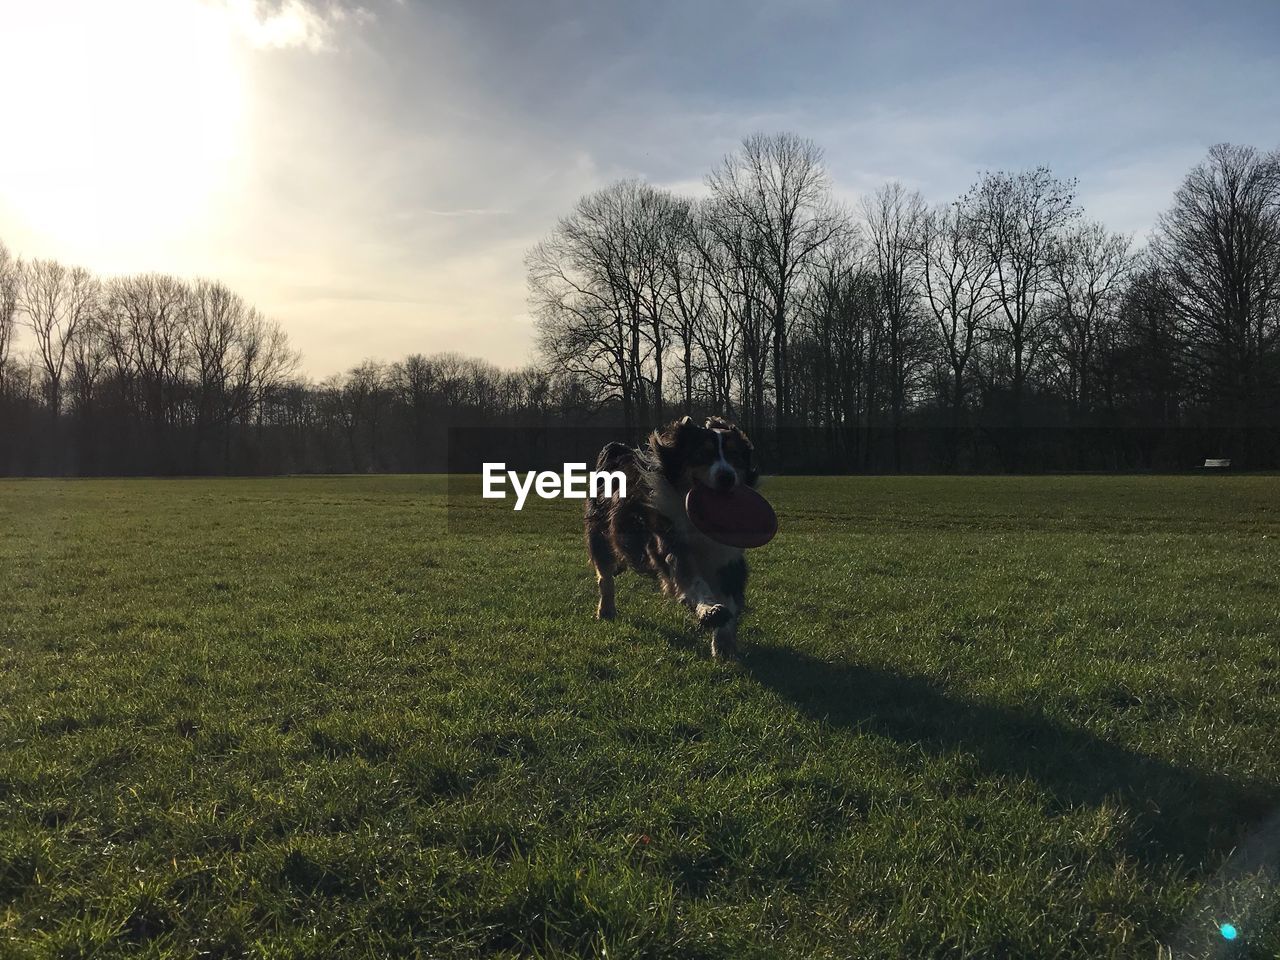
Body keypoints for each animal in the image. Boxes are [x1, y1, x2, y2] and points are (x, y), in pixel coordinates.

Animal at [586, 417, 757, 660]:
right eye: (702, 454)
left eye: (735, 455)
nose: (727, 477)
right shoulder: (669, 544)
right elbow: (692, 579)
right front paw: (709, 611)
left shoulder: (728, 559)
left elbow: (731, 601)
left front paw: (723, 643)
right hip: (600, 535)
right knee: (605, 577)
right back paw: (606, 610)